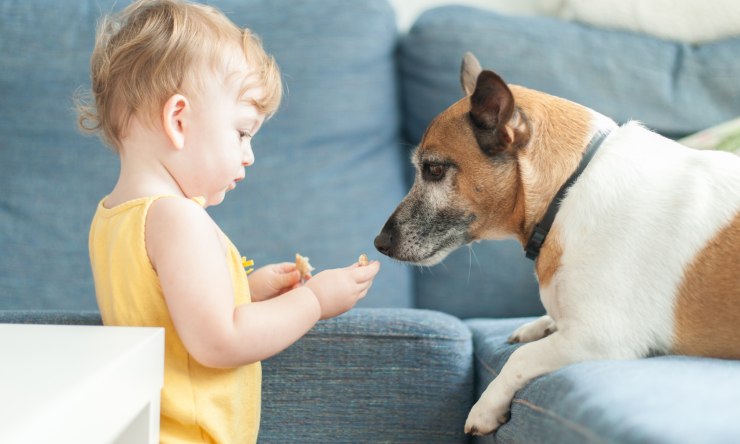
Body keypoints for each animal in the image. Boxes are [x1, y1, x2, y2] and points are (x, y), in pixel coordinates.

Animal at [376, 53, 740, 438]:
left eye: (433, 170)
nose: (378, 243)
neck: (568, 187)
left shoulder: (600, 336)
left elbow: (521, 358)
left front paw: (487, 406)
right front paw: (540, 323)